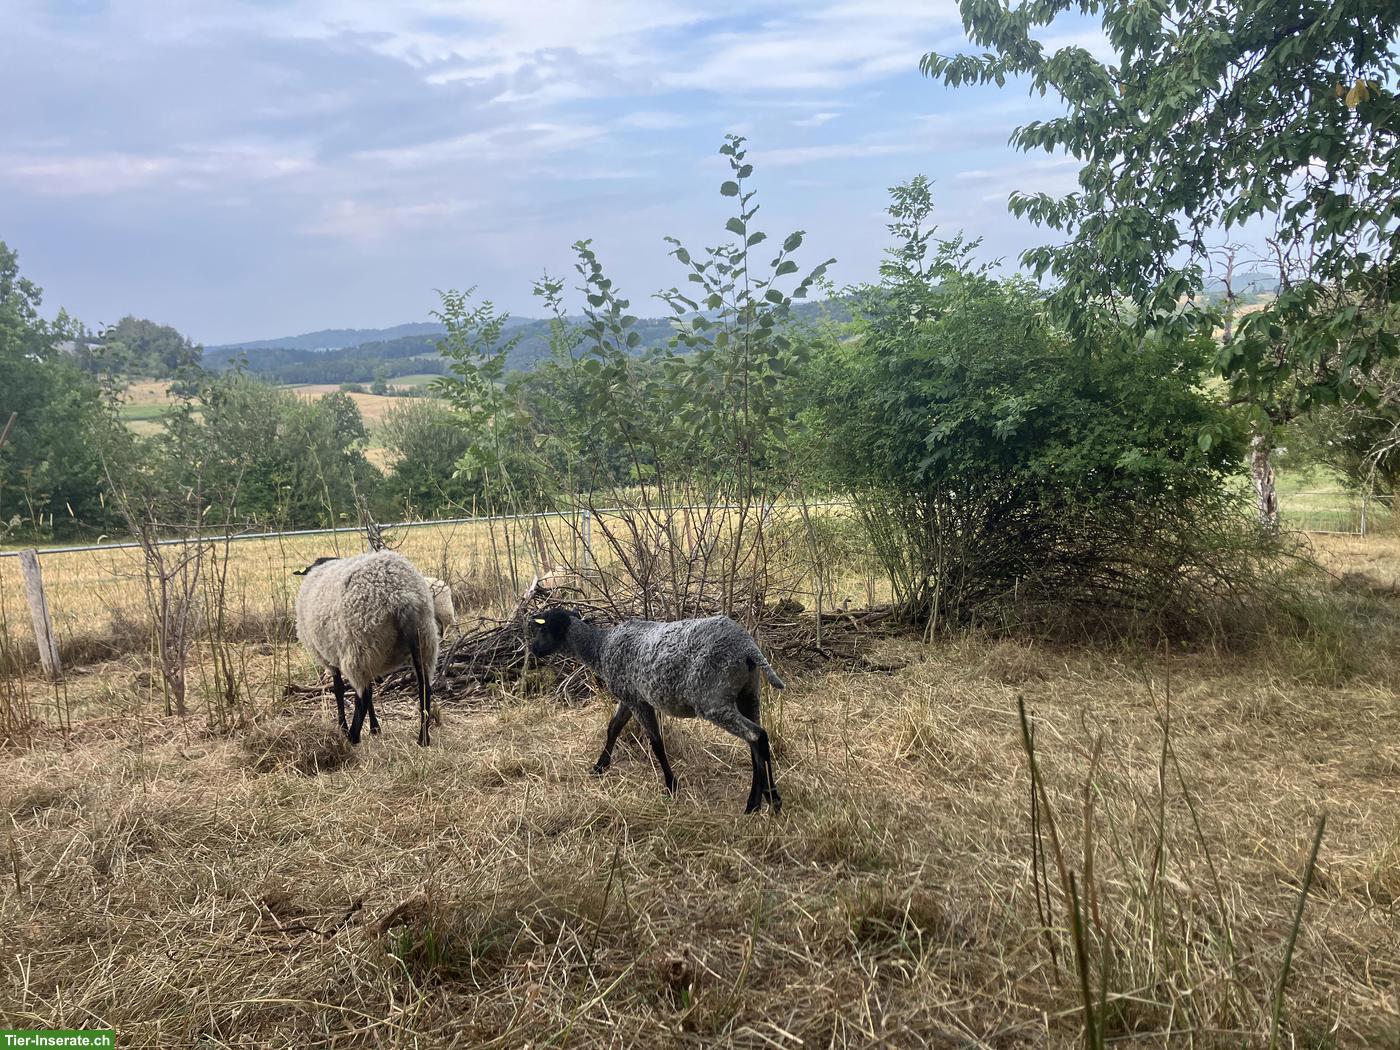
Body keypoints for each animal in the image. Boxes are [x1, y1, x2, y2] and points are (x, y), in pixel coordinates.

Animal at [293, 551, 439, 747]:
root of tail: (401, 595)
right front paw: (375, 728)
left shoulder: (330, 660)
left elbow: (338, 689)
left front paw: (343, 727)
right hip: (423, 641)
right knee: (424, 687)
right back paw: (423, 738)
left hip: (359, 646)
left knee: (362, 697)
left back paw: (352, 737)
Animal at [529, 608, 786, 813]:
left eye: (543, 629)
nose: (533, 651)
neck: (601, 647)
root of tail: (746, 646)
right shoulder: (628, 697)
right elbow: (613, 728)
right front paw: (600, 766)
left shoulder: (638, 701)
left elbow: (656, 742)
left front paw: (671, 785)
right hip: (749, 695)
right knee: (756, 742)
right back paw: (763, 800)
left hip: (714, 700)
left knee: (756, 736)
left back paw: (763, 802)